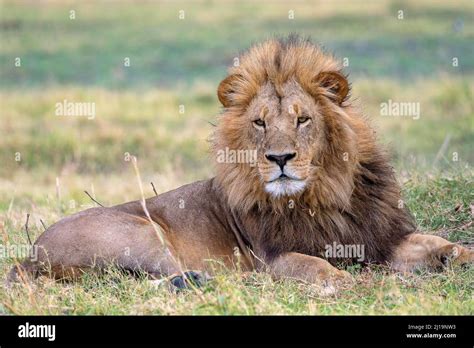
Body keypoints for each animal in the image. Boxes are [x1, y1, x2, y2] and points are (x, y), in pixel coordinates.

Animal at [8, 36, 474, 290]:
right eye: (260, 122)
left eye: (302, 119)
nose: (280, 158)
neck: (321, 195)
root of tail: (30, 253)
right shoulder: (272, 256)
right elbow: (313, 264)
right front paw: (342, 281)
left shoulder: (381, 237)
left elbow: (434, 242)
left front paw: (462, 254)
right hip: (144, 233)